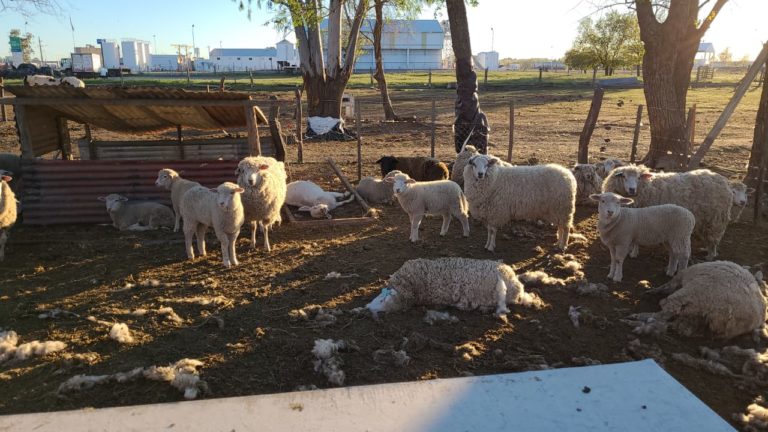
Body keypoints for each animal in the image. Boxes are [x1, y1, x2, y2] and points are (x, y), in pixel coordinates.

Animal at [602, 165, 732, 260]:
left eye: (639, 177)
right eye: (623, 176)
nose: (632, 189)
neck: (647, 186)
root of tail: (723, 181)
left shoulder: (639, 218)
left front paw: (633, 252)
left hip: (716, 218)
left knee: (714, 239)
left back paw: (710, 255)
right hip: (707, 219)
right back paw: (706, 249)